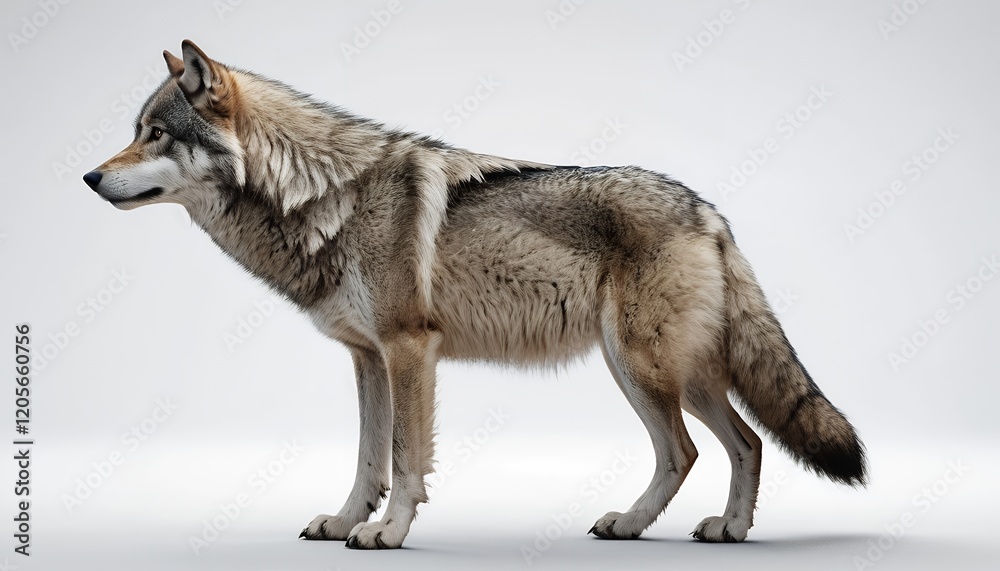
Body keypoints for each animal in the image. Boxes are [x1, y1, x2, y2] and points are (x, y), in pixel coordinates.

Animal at [83, 40, 866, 549]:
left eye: (154, 133)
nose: (89, 178)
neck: (325, 196)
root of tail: (709, 211)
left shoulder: (409, 349)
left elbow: (405, 457)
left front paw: (388, 532)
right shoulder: (367, 358)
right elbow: (366, 457)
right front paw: (345, 521)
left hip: (644, 369)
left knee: (692, 450)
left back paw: (647, 524)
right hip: (675, 374)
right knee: (744, 444)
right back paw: (719, 528)